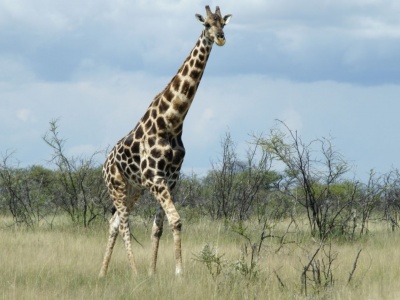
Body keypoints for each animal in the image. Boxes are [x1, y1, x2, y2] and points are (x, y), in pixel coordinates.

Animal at [98, 5, 233, 276]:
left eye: (223, 23)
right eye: (207, 24)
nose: (221, 37)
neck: (172, 123)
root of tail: (104, 164)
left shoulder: (170, 180)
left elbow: (159, 226)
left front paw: (153, 272)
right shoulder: (155, 178)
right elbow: (176, 220)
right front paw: (178, 272)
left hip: (133, 189)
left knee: (114, 222)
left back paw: (103, 273)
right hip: (116, 186)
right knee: (124, 224)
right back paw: (134, 272)